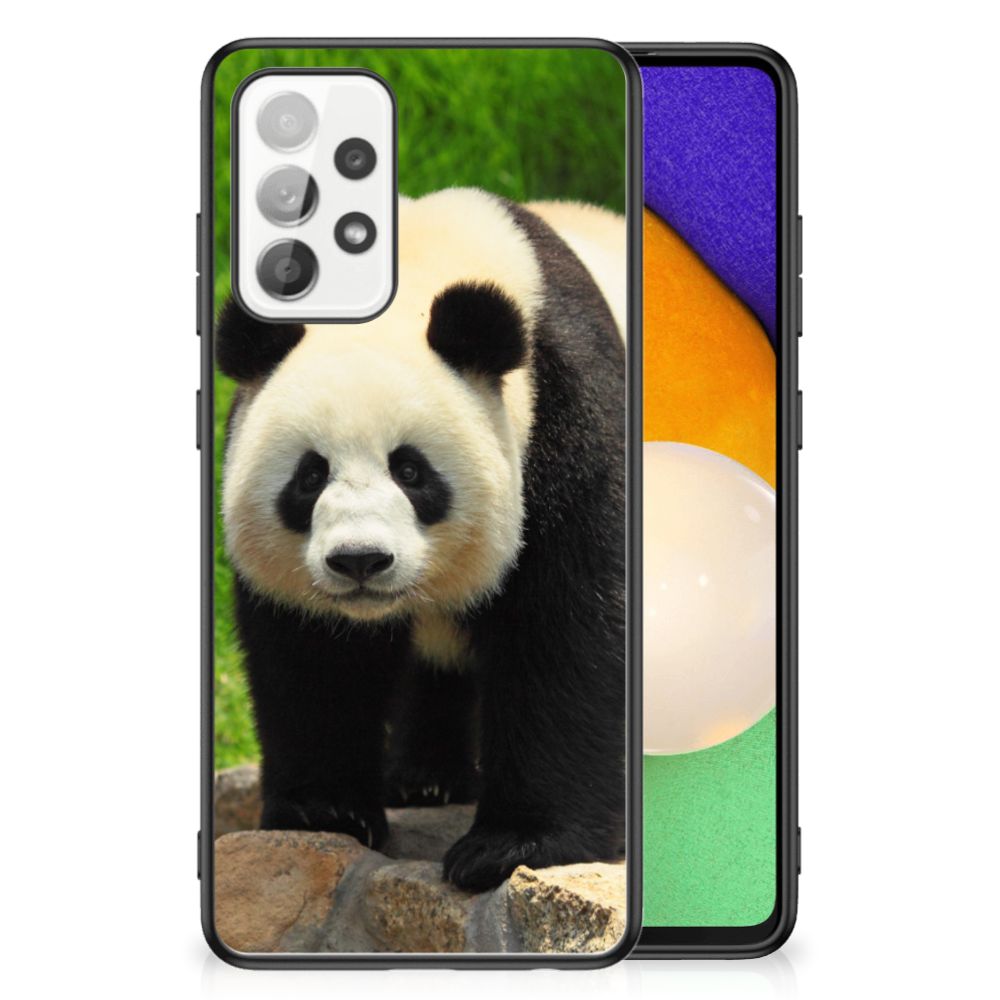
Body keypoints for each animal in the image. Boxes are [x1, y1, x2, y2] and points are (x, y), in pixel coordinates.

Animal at [217, 188, 627, 892]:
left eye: (410, 471)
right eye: (309, 475)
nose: (360, 561)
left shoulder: (568, 420)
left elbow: (567, 631)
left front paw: (513, 845)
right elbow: (311, 657)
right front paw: (326, 812)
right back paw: (425, 780)